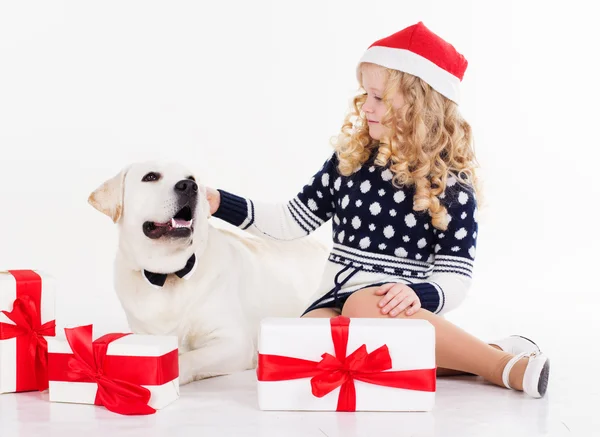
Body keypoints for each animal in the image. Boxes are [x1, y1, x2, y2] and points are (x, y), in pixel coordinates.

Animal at [89, 162, 328, 384]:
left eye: (192, 178)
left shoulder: (235, 343)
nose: (189, 186)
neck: (169, 274)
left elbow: (189, 358)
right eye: (150, 177)